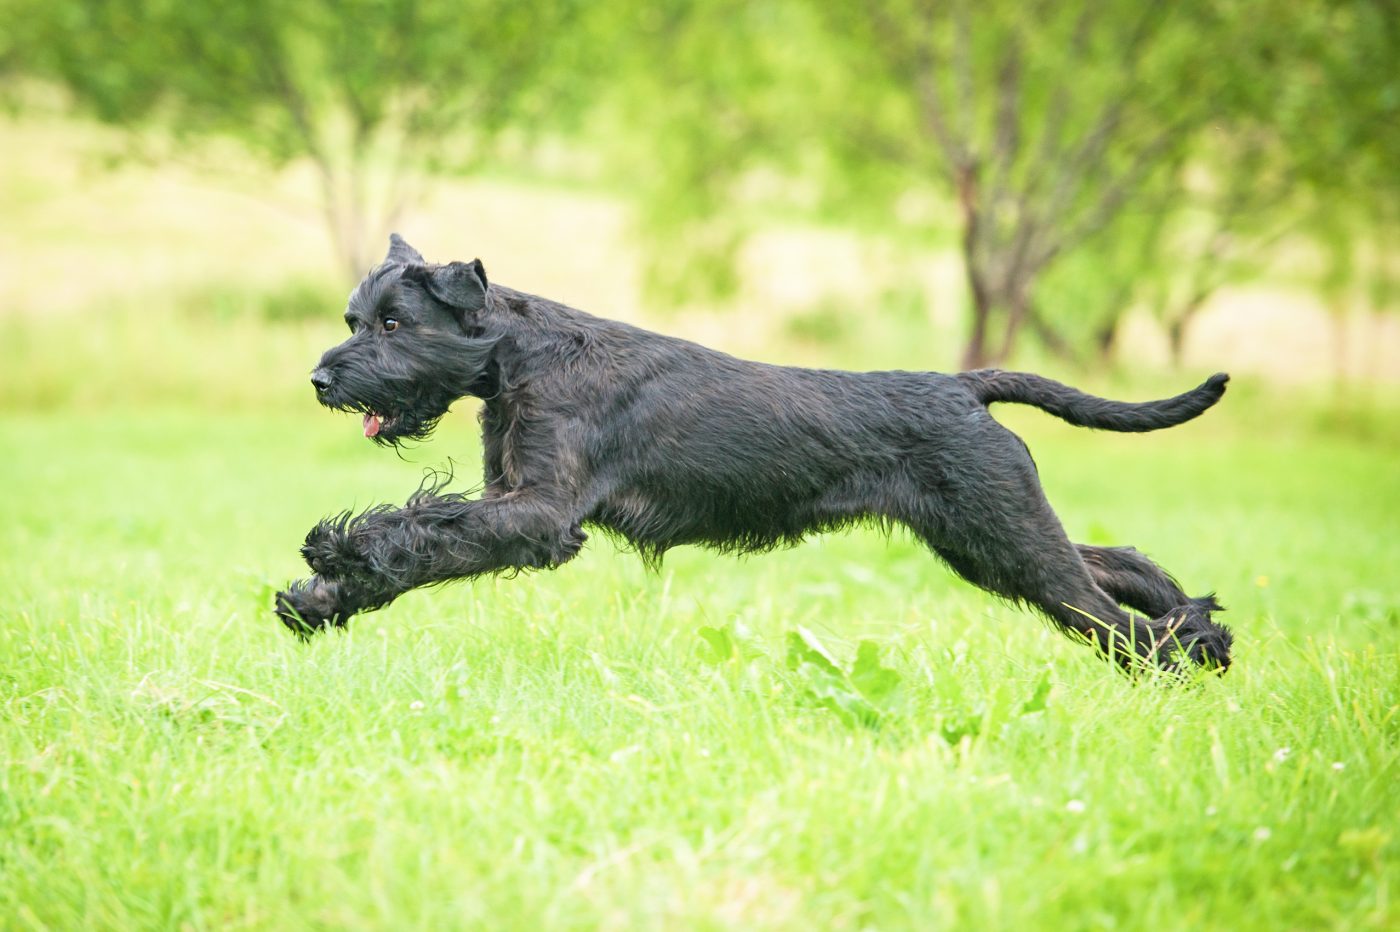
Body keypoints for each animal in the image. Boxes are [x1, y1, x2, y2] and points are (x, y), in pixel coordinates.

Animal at [275, 230, 1237, 668]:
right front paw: (317, 600)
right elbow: (433, 532)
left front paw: (335, 553)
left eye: (392, 325)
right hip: (988, 536)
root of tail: (963, 388)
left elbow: (425, 530)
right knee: (1114, 564)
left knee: (1110, 619)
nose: (319, 379)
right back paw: (1198, 621)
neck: (522, 354)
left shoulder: (539, 513)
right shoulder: (515, 496)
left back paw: (1187, 658)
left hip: (1003, 534)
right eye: (355, 319)